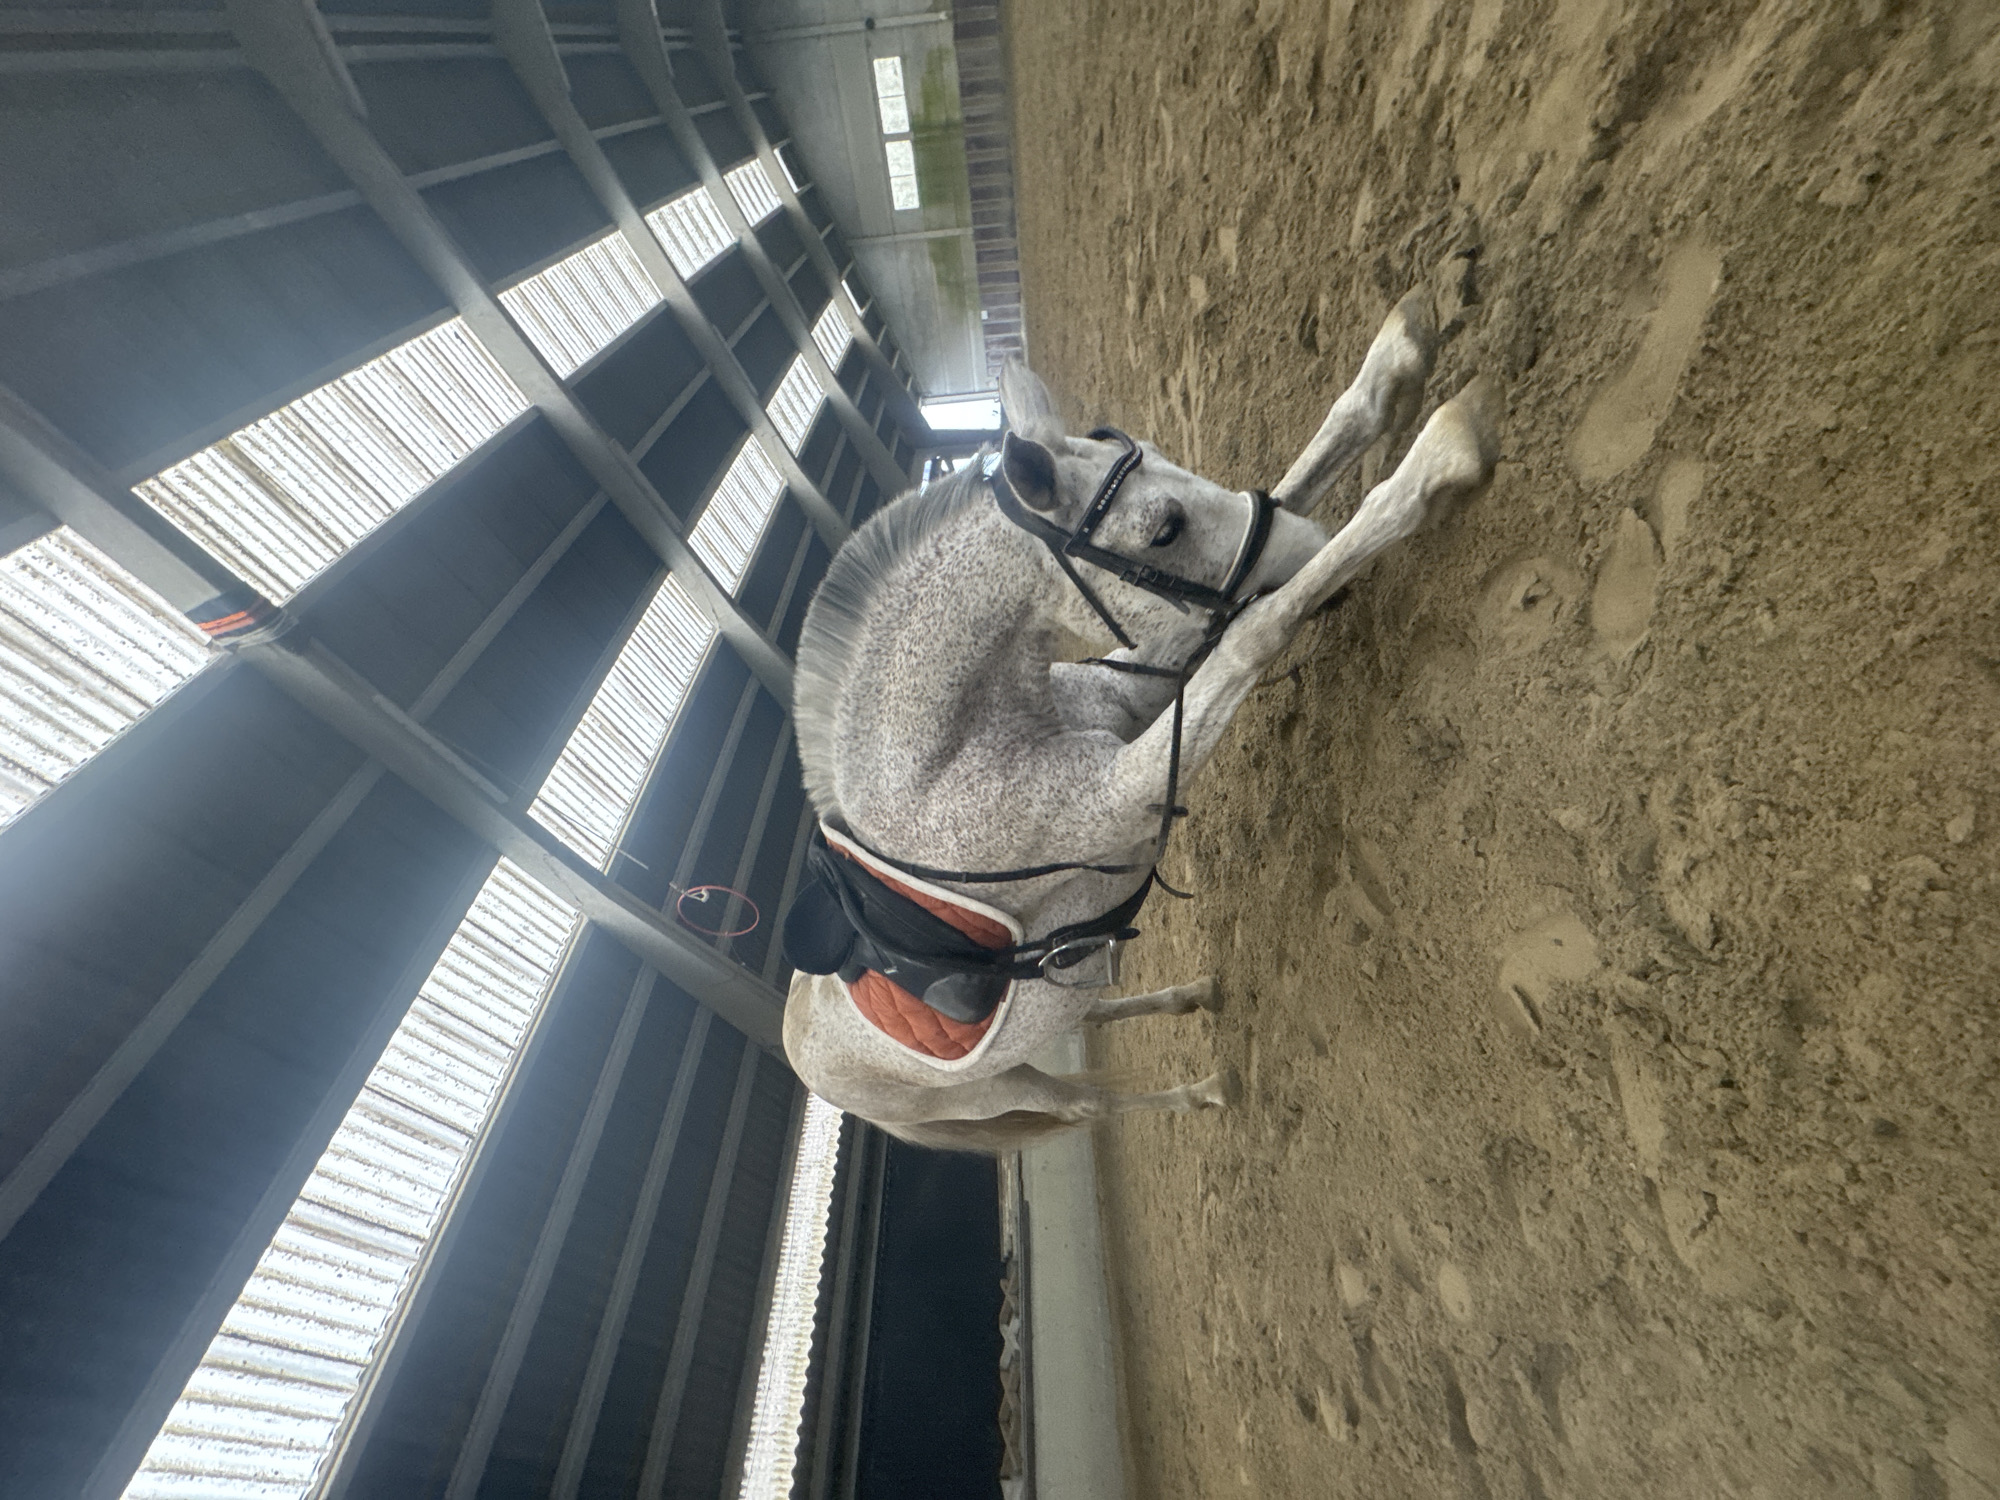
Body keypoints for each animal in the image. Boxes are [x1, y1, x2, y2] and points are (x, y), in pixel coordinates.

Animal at [781, 291, 1500, 1151]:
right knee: (1086, 1106)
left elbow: (1282, 503)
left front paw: (1394, 362)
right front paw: (1436, 460)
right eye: (1163, 529)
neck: (947, 769)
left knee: (1096, 1003)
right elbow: (1256, 632)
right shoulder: (1123, 794)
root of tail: (804, 1059)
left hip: (1065, 999)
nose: (1307, 548)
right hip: (999, 1090)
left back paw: (1193, 995)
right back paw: (1208, 1089)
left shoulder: (1142, 685)